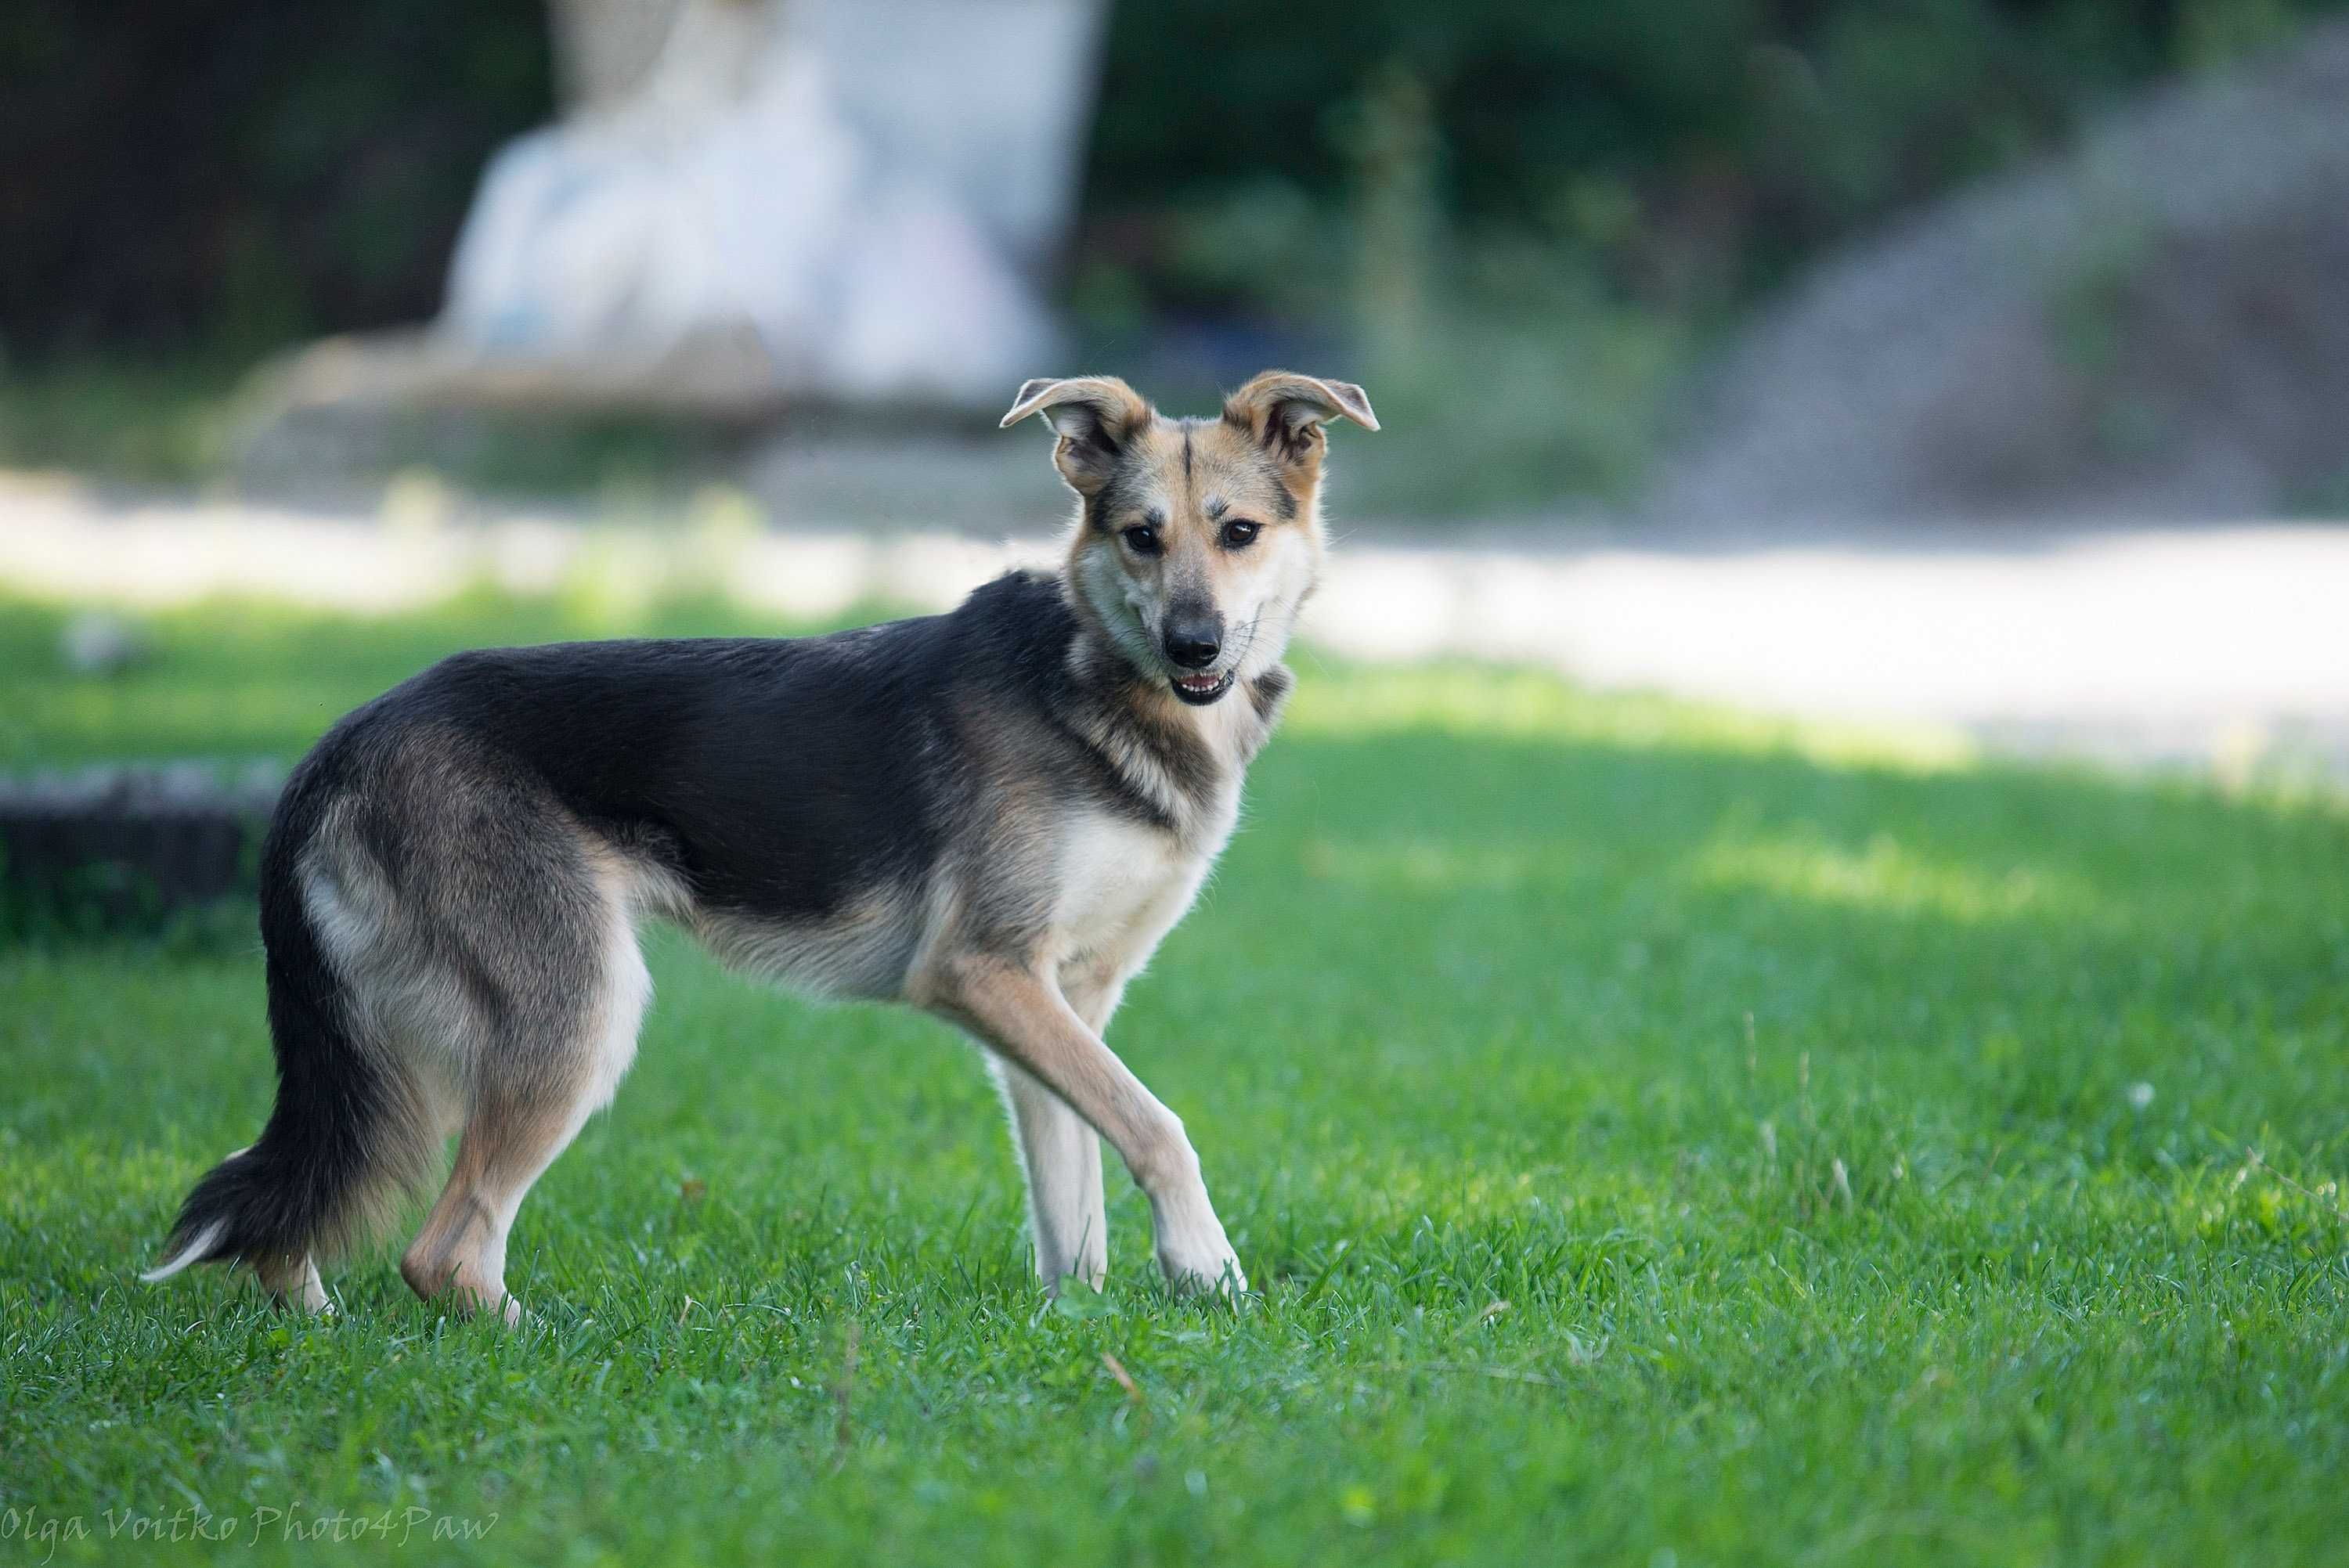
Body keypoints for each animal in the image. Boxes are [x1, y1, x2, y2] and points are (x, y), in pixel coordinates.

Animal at [142, 368, 1372, 1314]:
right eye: (1140, 537)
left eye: (1240, 533)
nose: (1194, 642)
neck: (1100, 681)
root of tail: (338, 743)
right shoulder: (982, 972)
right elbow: (1156, 1124)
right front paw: (1206, 1268)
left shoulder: (1063, 994)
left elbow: (1072, 1186)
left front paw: (1080, 1319)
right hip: (573, 1012)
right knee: (440, 1250)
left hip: (400, 1045)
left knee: (289, 1204)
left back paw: (314, 1326)